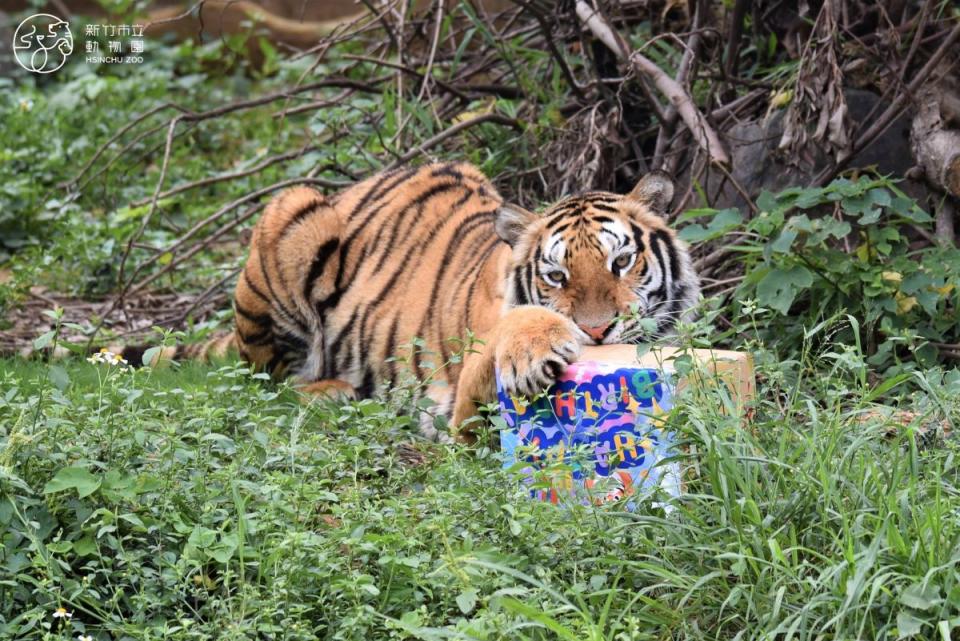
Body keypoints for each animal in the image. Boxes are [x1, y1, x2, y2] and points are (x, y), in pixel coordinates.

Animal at [135, 161, 696, 440]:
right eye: (556, 277)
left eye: (620, 262)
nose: (598, 331)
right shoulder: (463, 399)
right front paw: (534, 349)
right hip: (292, 211)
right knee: (266, 385)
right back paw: (334, 393)